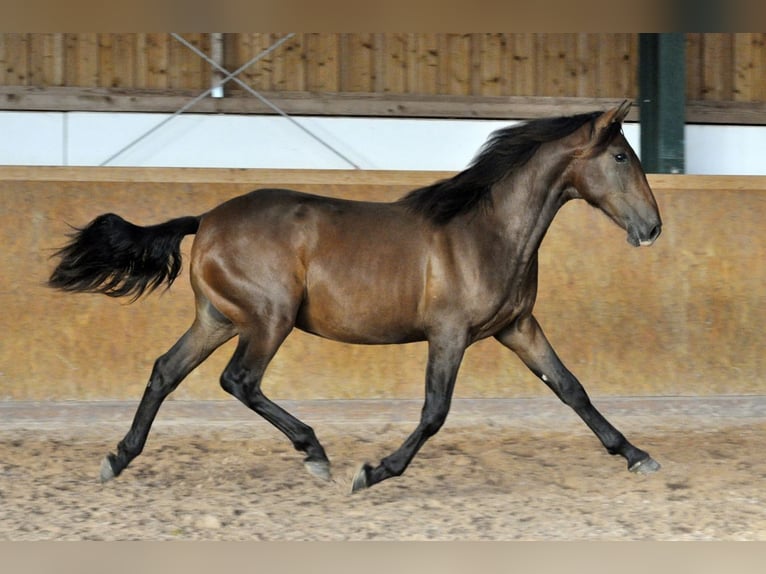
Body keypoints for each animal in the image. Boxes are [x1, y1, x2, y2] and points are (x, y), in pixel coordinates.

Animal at [48, 101, 664, 492]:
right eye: (620, 158)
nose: (653, 228)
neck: (484, 230)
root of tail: (206, 219)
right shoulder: (450, 335)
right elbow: (435, 411)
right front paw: (371, 473)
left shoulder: (518, 327)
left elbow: (571, 388)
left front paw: (637, 455)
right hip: (268, 319)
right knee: (239, 380)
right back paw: (315, 453)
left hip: (218, 319)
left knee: (164, 371)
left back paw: (117, 458)